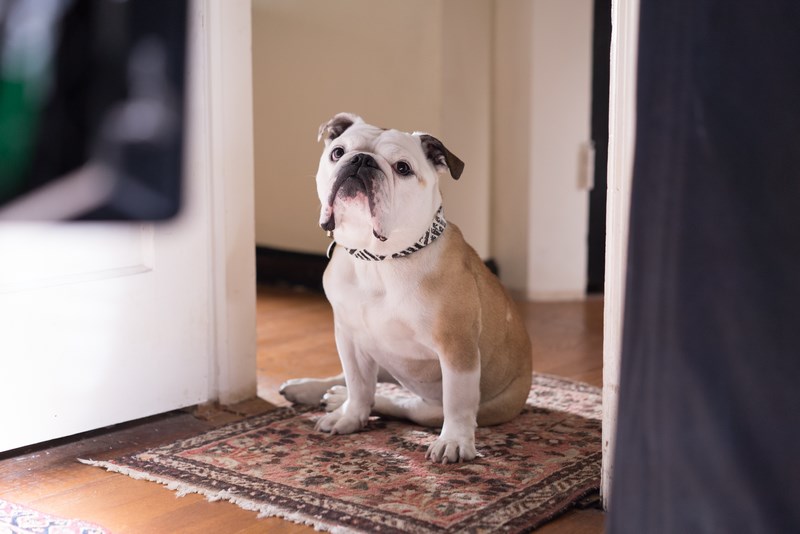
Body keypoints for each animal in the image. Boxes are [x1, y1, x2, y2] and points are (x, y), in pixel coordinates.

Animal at [279, 113, 532, 463]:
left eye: (402, 168)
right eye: (338, 152)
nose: (360, 160)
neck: (378, 259)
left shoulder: (457, 348)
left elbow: (457, 402)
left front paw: (455, 441)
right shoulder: (349, 337)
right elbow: (358, 383)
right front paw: (350, 416)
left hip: (440, 404)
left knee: (407, 405)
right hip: (379, 355)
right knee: (363, 382)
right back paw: (314, 390)